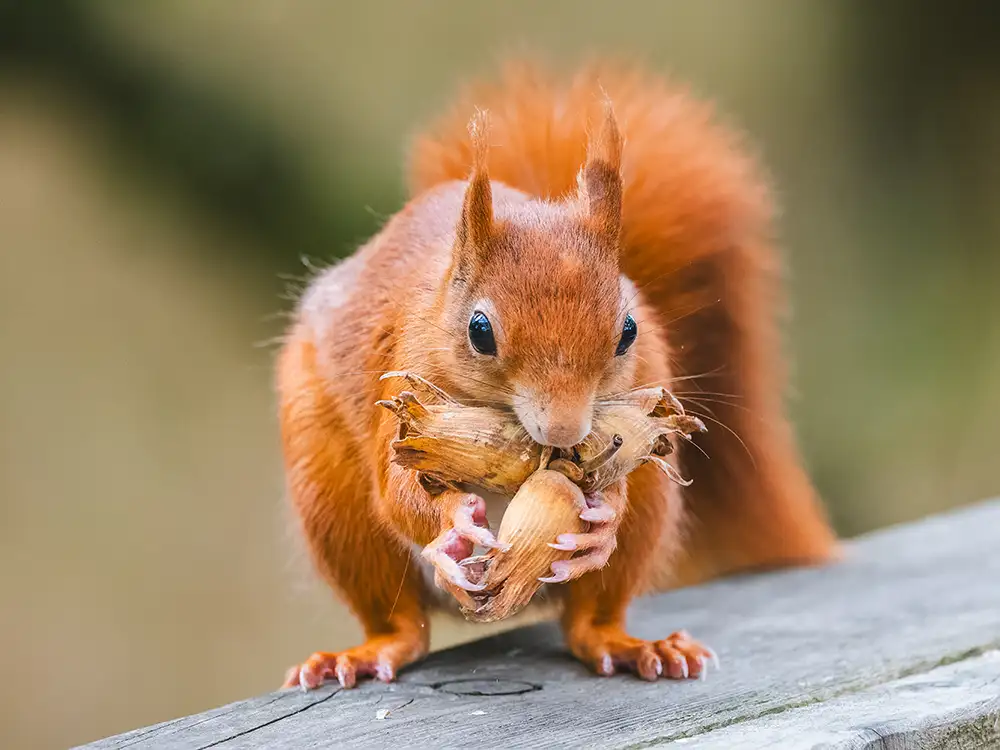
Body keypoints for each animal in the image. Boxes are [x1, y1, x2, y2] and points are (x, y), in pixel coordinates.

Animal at [277, 62, 837, 690]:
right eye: (479, 331)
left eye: (628, 331)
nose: (567, 433)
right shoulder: (401, 388)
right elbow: (396, 490)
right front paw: (455, 519)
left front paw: (603, 520)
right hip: (332, 500)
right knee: (400, 623)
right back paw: (365, 652)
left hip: (651, 506)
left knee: (588, 620)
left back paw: (630, 642)